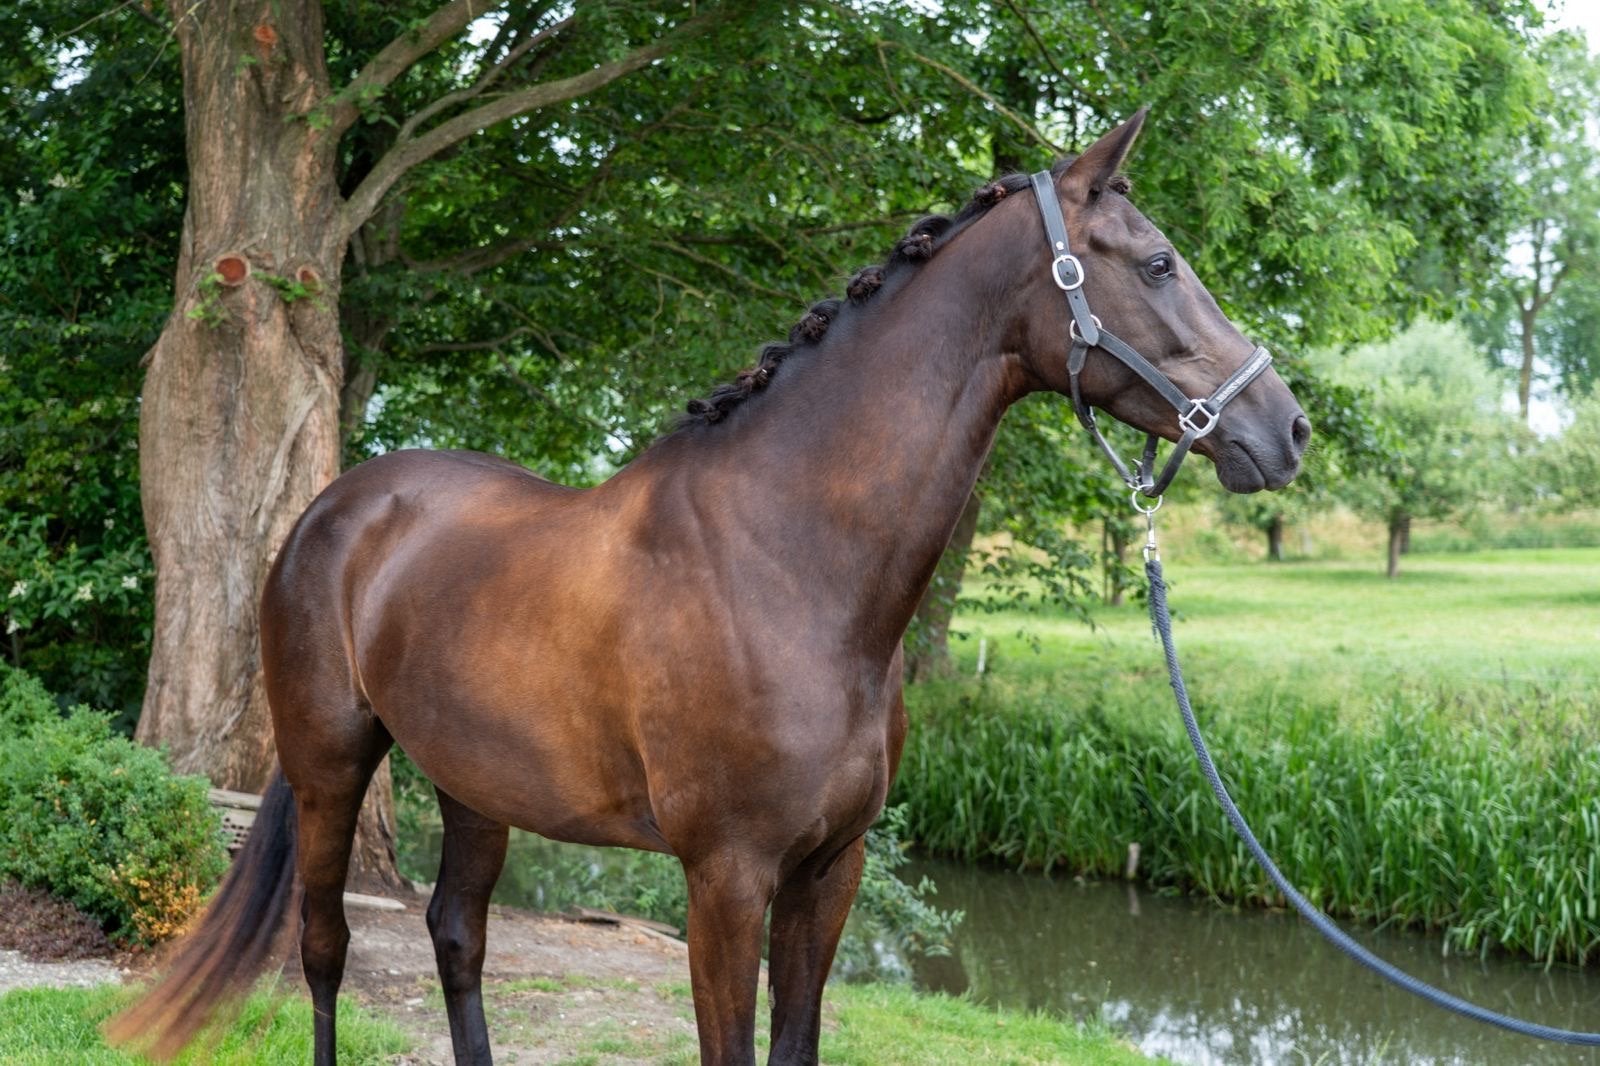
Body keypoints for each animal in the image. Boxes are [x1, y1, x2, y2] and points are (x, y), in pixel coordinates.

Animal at [109, 109, 1308, 1065]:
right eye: (1157, 264)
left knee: (457, 936)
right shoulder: (725, 879)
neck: (791, 567)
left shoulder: (828, 873)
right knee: (323, 950)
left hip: (475, 784)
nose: (1284, 427)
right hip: (329, 765)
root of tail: (338, 508)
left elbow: (796, 1044)